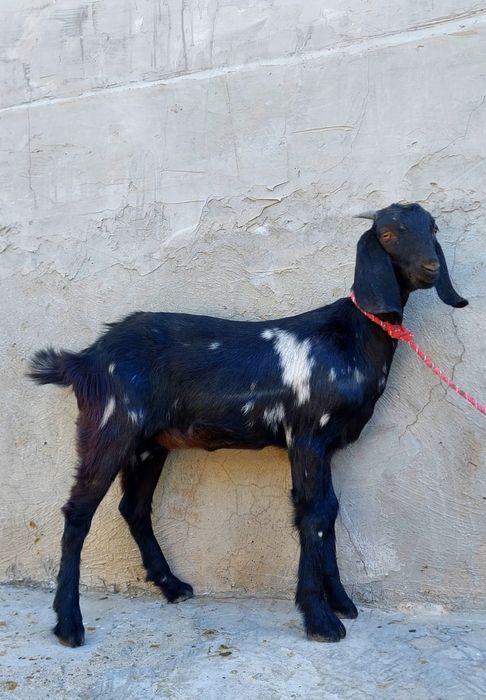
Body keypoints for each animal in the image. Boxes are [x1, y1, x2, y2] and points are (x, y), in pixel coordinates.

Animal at [29, 202, 468, 647]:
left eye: (431, 228)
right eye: (388, 234)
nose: (431, 268)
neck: (350, 338)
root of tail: (86, 360)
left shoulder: (324, 445)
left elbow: (328, 511)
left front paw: (341, 602)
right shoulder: (306, 435)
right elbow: (312, 514)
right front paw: (321, 619)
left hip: (150, 443)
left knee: (133, 507)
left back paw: (172, 585)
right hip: (110, 428)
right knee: (78, 513)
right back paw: (69, 624)